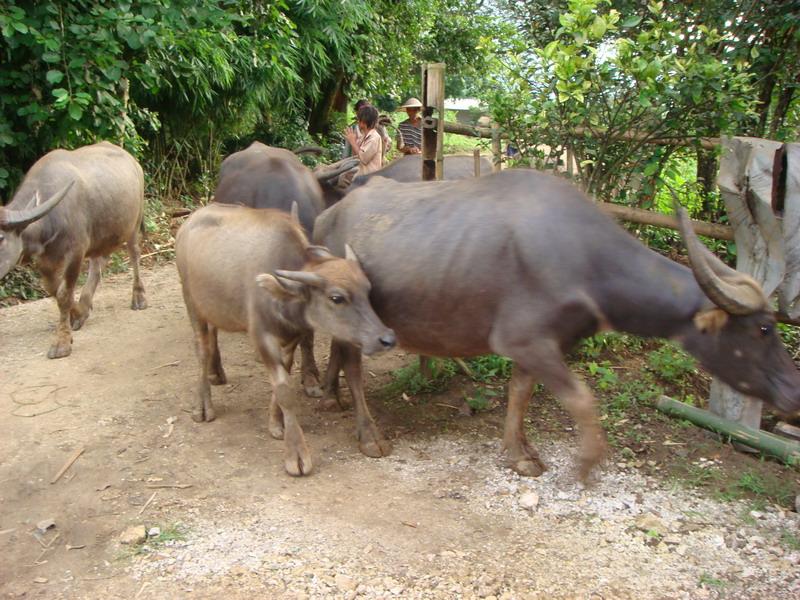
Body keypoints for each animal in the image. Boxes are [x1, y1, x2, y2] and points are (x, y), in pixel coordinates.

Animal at [0, 141, 148, 356]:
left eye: (0, 237)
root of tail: (133, 161)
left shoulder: (75, 253)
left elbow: (64, 294)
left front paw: (62, 342)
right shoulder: (44, 260)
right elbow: (53, 289)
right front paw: (78, 314)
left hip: (133, 225)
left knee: (134, 253)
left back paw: (138, 297)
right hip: (101, 234)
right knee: (98, 263)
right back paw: (85, 304)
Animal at [175, 204, 394, 476]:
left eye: (367, 290)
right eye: (336, 298)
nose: (386, 338)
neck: (282, 298)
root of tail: (187, 223)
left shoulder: (291, 338)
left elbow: (284, 378)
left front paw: (275, 422)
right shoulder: (261, 338)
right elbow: (284, 391)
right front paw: (296, 453)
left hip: (213, 307)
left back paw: (218, 374)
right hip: (191, 303)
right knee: (201, 349)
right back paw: (203, 406)